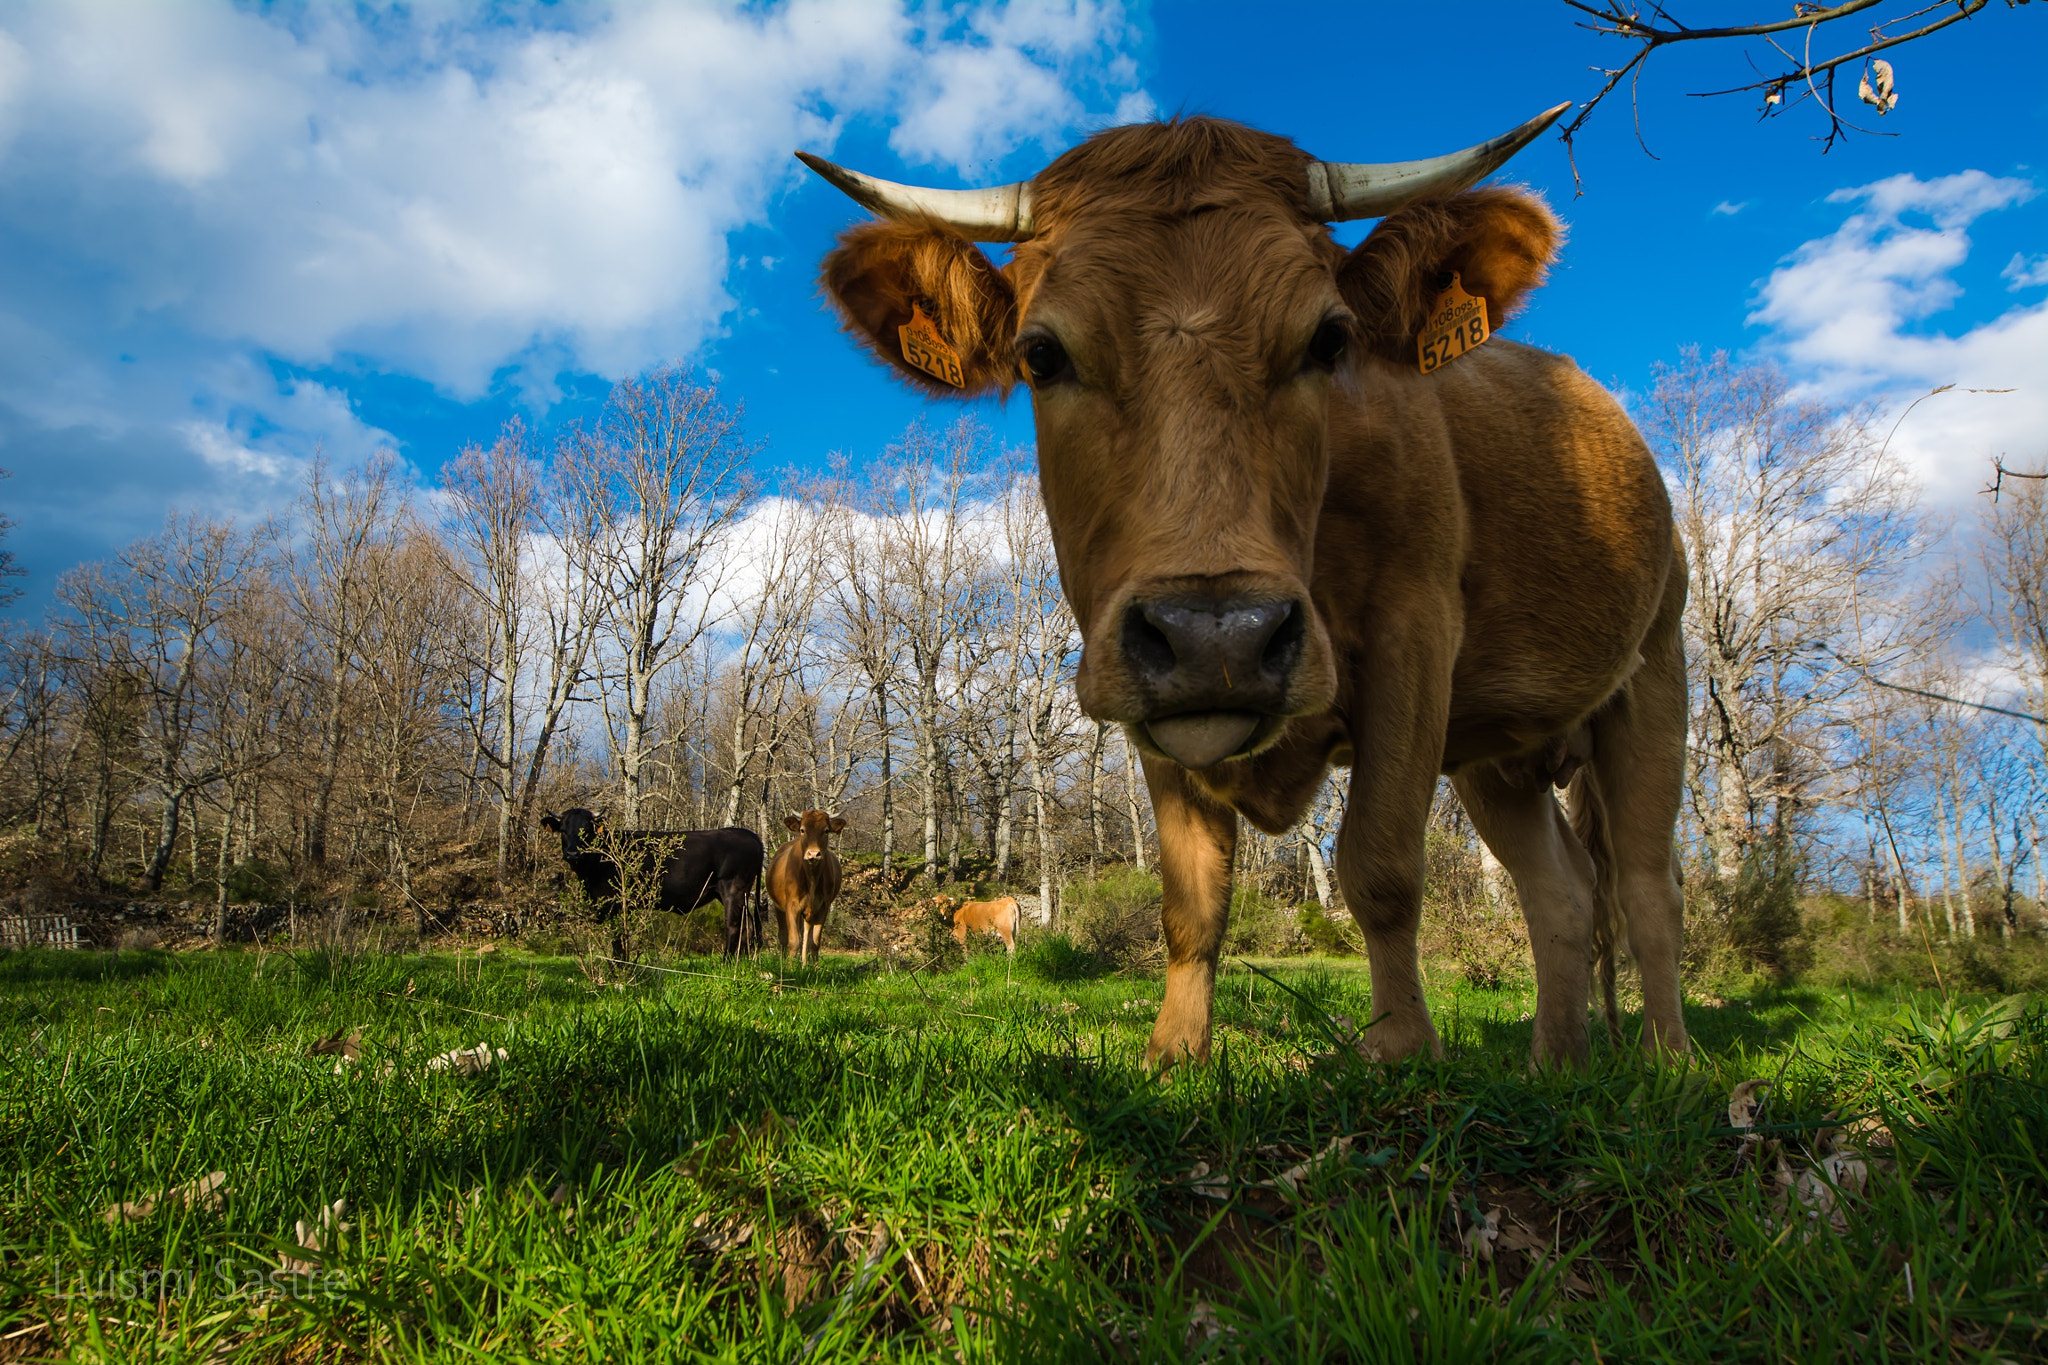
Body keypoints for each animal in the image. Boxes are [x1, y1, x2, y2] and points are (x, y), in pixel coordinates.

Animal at [539, 808, 764, 955]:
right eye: (563, 830)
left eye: (586, 830)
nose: (572, 854)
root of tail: (746, 833)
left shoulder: (617, 904)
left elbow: (618, 940)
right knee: (748, 925)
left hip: (733, 889)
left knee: (734, 925)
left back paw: (727, 960)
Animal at [767, 809, 846, 966]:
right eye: (803, 830)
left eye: (826, 830)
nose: (813, 854)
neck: (812, 878)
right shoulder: (792, 905)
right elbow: (793, 940)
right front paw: (790, 967)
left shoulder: (823, 907)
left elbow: (814, 942)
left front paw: (815, 967)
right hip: (779, 907)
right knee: (783, 936)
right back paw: (785, 961)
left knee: (806, 935)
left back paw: (803, 963)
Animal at [797, 104, 1690, 1072]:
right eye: (1041, 354)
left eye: (1331, 341)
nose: (1218, 638)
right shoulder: (1146, 692)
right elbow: (1192, 900)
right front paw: (1175, 1052)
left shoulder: (1414, 641)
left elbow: (1379, 864)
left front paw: (1399, 1044)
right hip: (1497, 753)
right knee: (1561, 888)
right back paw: (1555, 1062)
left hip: (1655, 672)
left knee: (1649, 888)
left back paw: (1669, 1059)